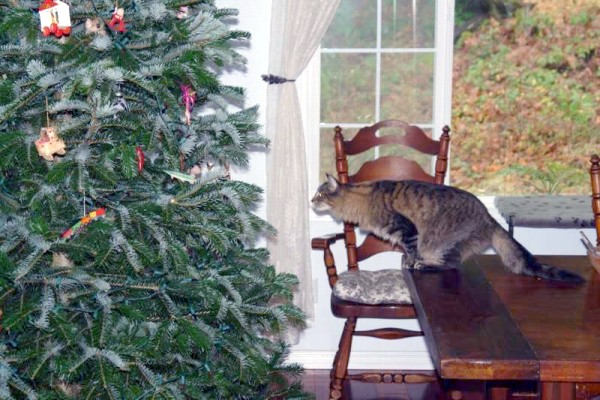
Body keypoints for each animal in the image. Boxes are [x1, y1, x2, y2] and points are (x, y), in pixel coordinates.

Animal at [314, 176, 584, 284]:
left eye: (320, 195)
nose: (310, 201)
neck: (362, 199)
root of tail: (489, 218)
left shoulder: (406, 228)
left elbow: (410, 250)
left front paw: (409, 262)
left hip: (445, 244)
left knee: (451, 264)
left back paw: (425, 265)